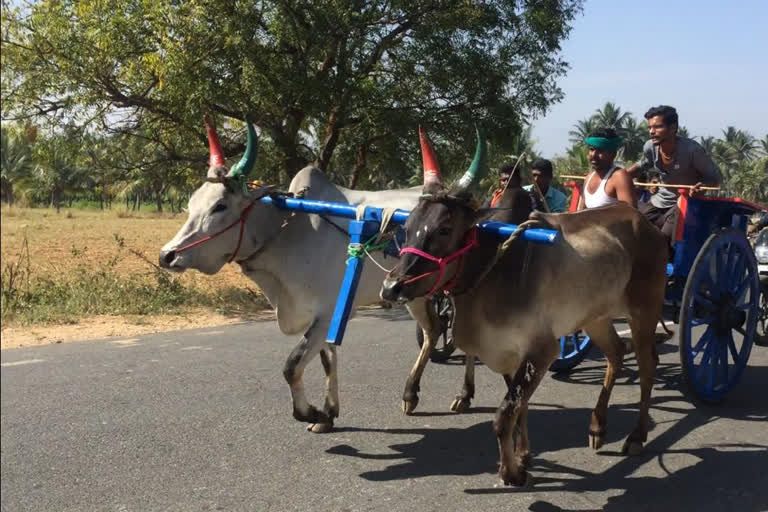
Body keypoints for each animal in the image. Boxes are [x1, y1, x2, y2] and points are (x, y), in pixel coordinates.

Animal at [380, 130, 668, 486]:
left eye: (444, 228)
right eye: (407, 227)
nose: (392, 286)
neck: (492, 268)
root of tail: (645, 223)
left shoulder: (542, 350)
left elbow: (505, 413)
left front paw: (512, 471)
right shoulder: (508, 352)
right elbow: (520, 407)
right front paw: (523, 455)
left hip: (645, 310)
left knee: (647, 365)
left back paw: (636, 437)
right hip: (595, 316)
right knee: (616, 353)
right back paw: (597, 426)